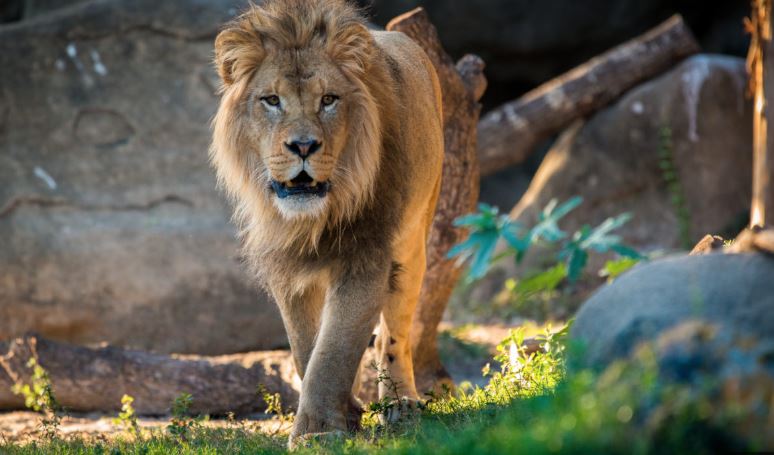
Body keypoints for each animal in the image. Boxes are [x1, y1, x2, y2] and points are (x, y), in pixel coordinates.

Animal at [211, 0, 442, 448]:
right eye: (271, 100)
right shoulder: (287, 268)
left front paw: (317, 432)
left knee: (395, 335)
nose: (303, 146)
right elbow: (307, 348)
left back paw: (401, 404)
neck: (313, 218)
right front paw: (342, 414)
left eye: (329, 100)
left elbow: (335, 348)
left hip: (413, 241)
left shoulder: (365, 256)